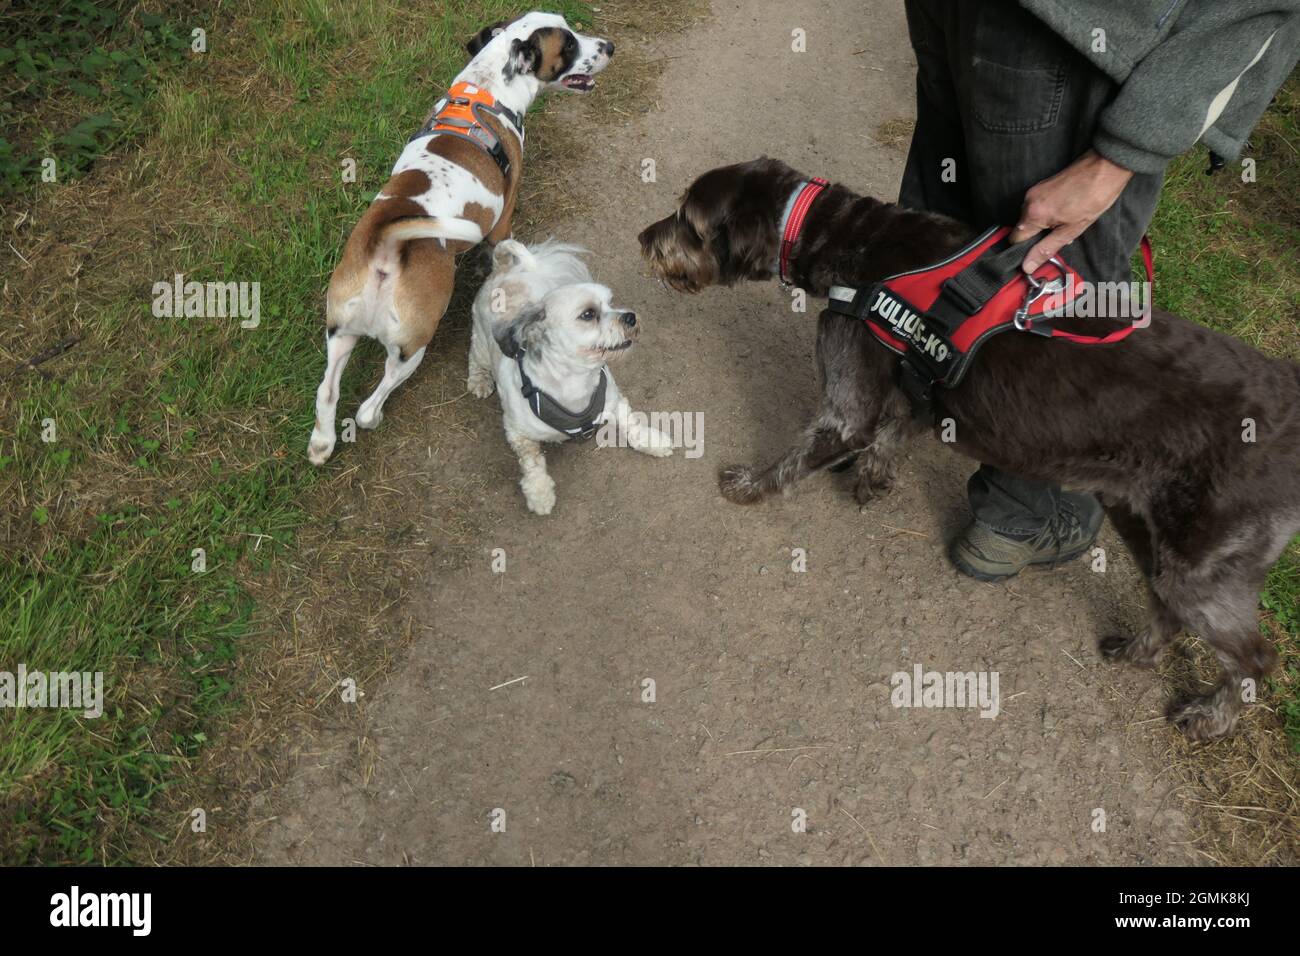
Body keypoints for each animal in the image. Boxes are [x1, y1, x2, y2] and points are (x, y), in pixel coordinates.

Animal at [306, 10, 611, 468]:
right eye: (569, 43)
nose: (609, 46)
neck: (485, 88)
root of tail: (387, 247)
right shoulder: (503, 219)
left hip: (340, 334)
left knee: (327, 391)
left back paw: (321, 443)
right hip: (412, 346)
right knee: (366, 409)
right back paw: (371, 417)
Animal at [467, 239, 670, 515]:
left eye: (611, 302)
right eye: (588, 314)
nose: (630, 316)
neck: (576, 383)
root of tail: (504, 269)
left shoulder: (614, 401)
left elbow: (632, 424)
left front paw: (651, 440)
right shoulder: (516, 431)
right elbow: (532, 463)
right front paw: (539, 492)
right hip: (480, 341)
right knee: (474, 355)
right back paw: (479, 379)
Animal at [639, 157, 1300, 743]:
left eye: (688, 220)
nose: (644, 238)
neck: (849, 235)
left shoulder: (846, 399)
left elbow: (815, 447)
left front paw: (747, 485)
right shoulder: (915, 386)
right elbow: (890, 432)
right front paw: (871, 478)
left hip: (1203, 568)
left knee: (1256, 658)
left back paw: (1211, 718)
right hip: (1148, 530)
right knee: (1166, 610)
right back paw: (1135, 653)